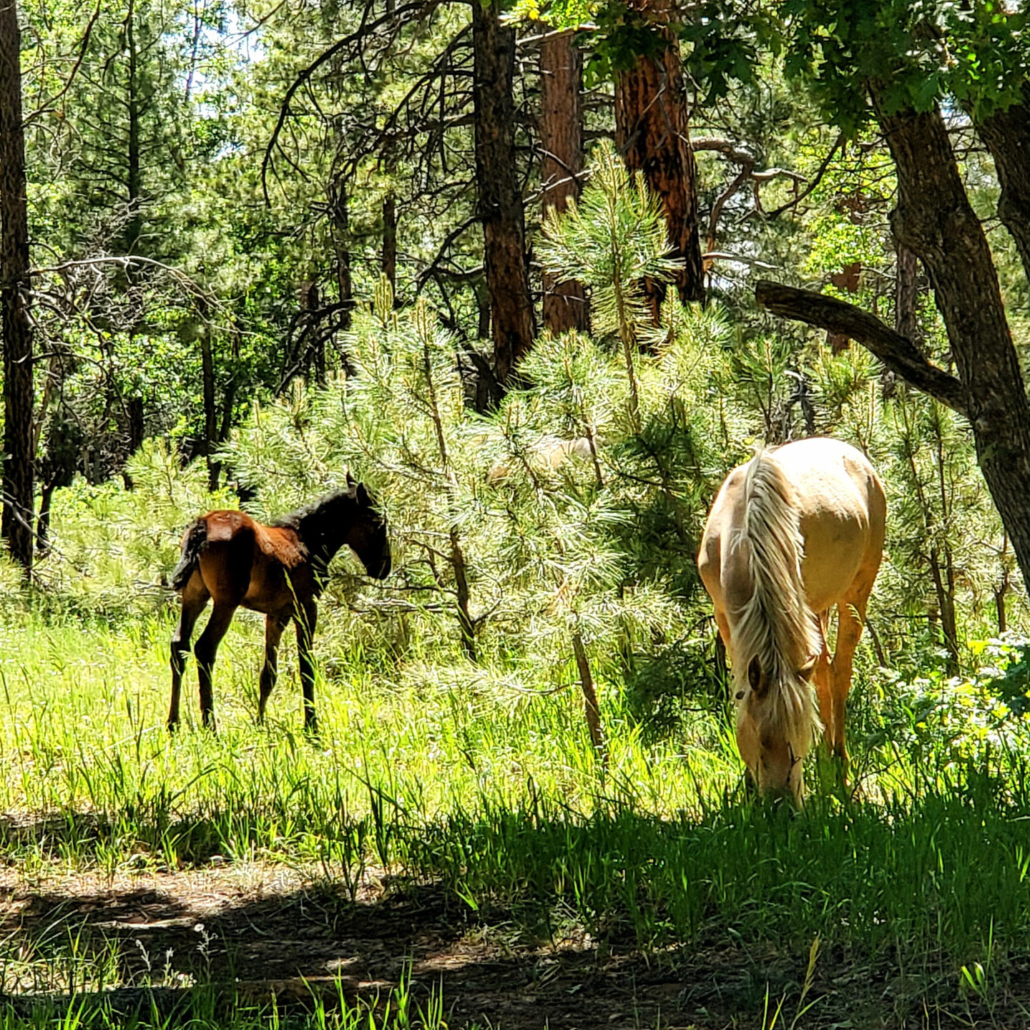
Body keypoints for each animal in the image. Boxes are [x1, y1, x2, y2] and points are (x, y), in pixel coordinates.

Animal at [168, 476, 391, 733]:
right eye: (377, 523)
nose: (384, 568)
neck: (306, 541)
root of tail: (201, 527)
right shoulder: (306, 608)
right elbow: (306, 667)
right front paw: (311, 725)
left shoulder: (276, 615)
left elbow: (268, 673)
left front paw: (260, 723)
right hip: (226, 602)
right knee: (204, 649)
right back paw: (210, 724)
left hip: (194, 596)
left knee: (179, 646)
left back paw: (173, 723)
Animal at [697, 438, 885, 802]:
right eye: (760, 741)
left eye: (799, 741)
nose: (781, 806)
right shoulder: (725, 618)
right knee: (824, 673)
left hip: (854, 593)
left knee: (839, 674)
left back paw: (839, 769)